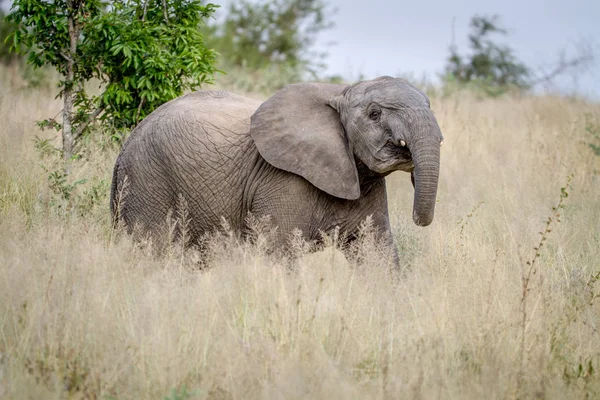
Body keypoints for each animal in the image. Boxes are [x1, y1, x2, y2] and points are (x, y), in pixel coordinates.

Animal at [110, 76, 442, 262]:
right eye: (374, 114)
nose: (418, 218)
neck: (339, 93)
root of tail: (124, 147)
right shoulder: (281, 179)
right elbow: (280, 253)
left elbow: (376, 254)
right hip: (145, 180)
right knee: (153, 248)